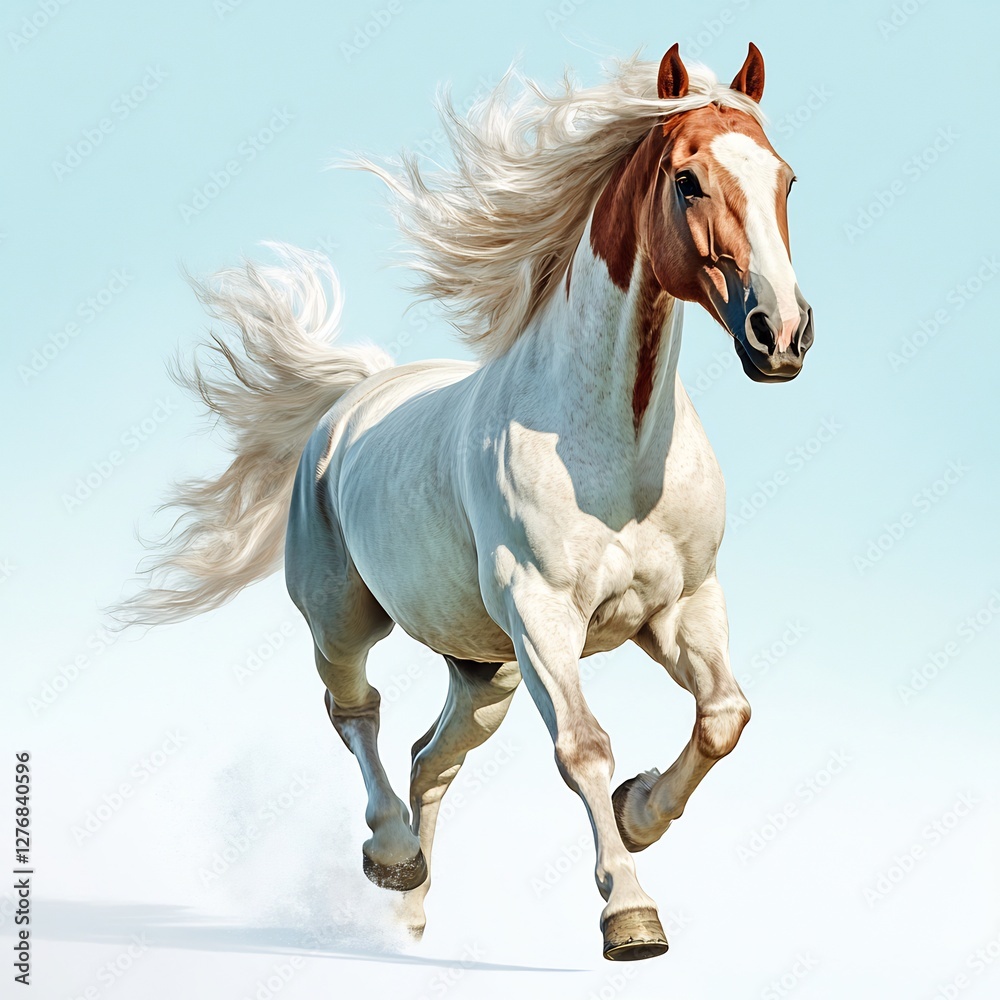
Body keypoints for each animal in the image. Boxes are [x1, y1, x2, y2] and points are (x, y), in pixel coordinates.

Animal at [119, 43, 814, 962]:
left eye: (786, 179)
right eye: (689, 180)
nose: (782, 335)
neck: (615, 455)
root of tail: (353, 399)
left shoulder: (682, 605)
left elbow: (724, 716)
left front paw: (639, 812)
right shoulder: (543, 617)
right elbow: (584, 748)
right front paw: (630, 913)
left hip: (485, 669)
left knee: (429, 756)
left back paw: (411, 916)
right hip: (344, 620)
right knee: (358, 713)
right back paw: (390, 855)